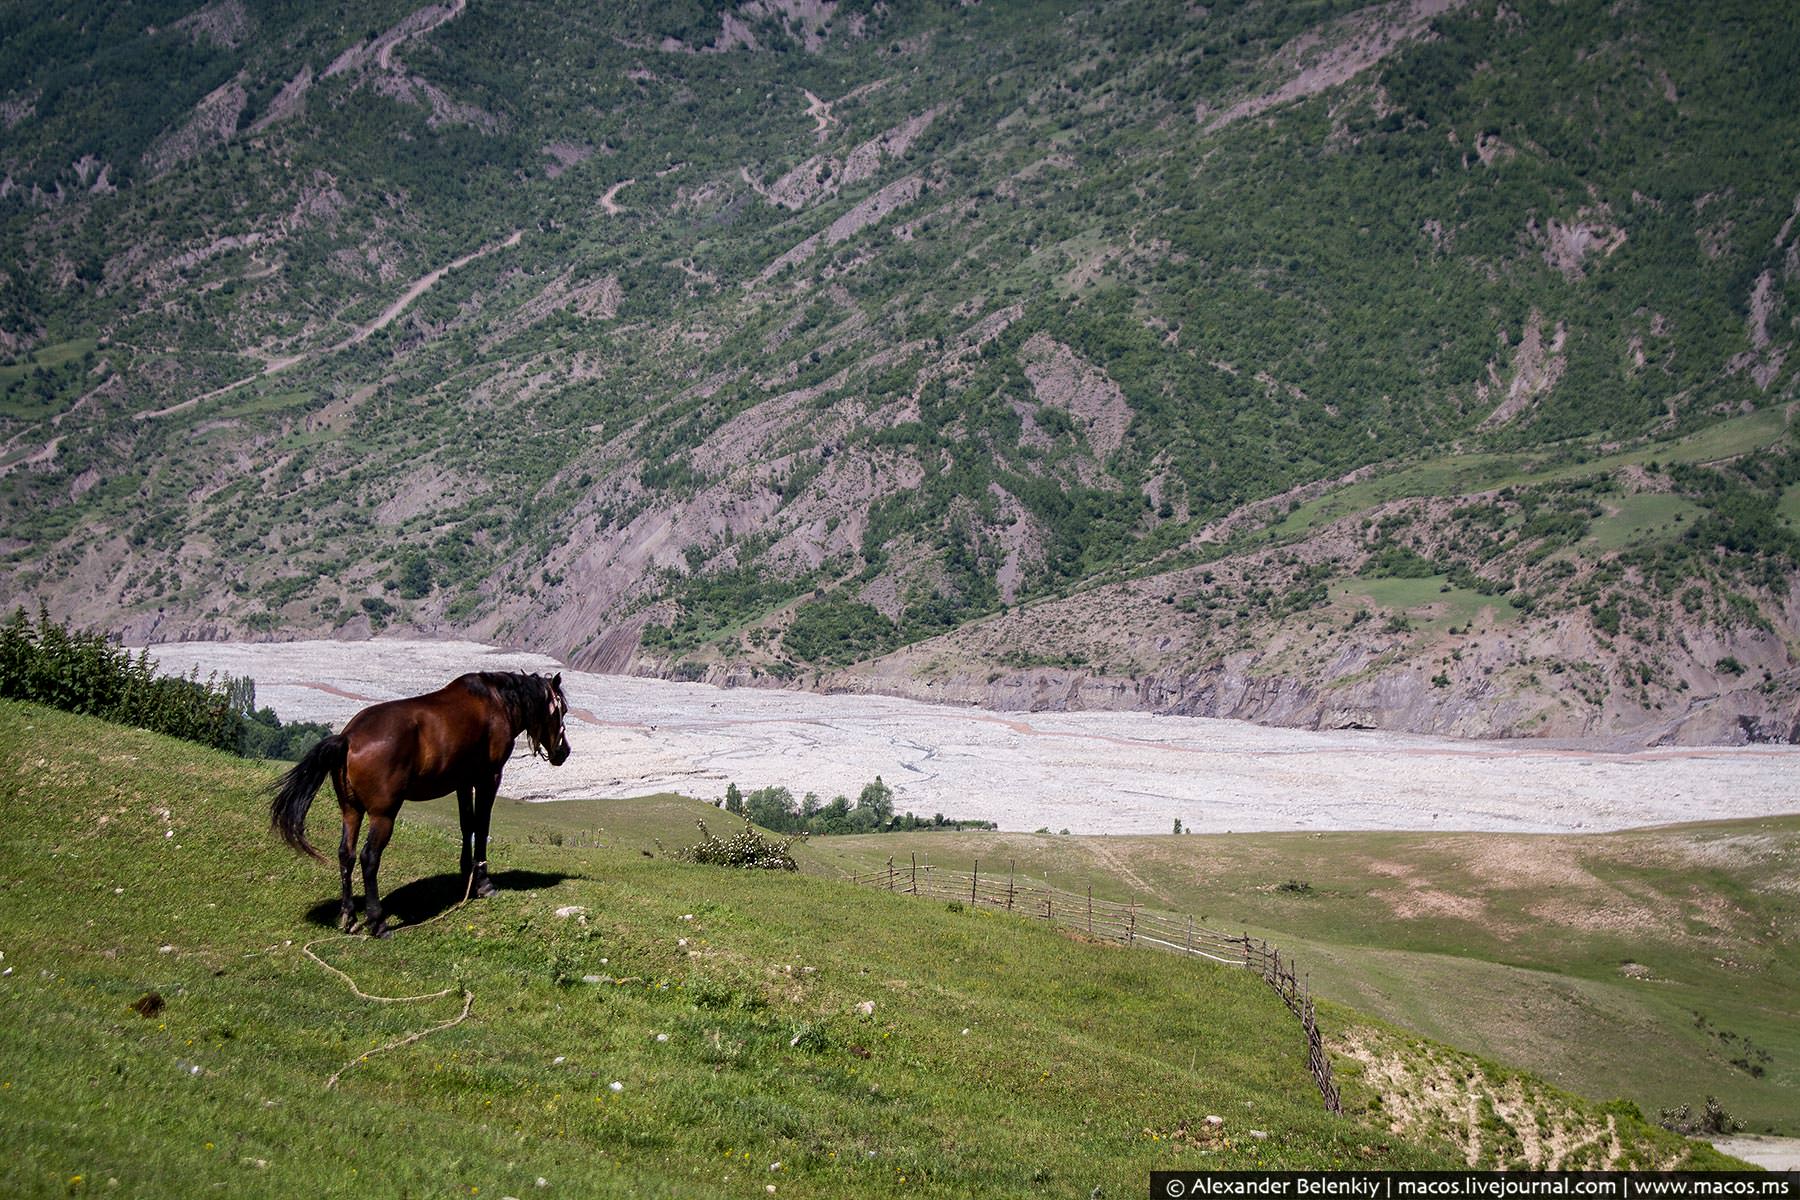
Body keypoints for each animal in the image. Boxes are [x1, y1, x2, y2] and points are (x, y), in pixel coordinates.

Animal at [268, 665, 568, 935]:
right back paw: (377, 922)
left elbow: (467, 826)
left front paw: (466, 877)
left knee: (346, 854)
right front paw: (483, 883)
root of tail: (348, 738)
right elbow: (481, 826)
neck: (497, 702)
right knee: (368, 857)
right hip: (383, 815)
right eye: (562, 710)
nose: (564, 751)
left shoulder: (462, 782)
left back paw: (349, 916)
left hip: (351, 810)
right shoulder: (489, 778)